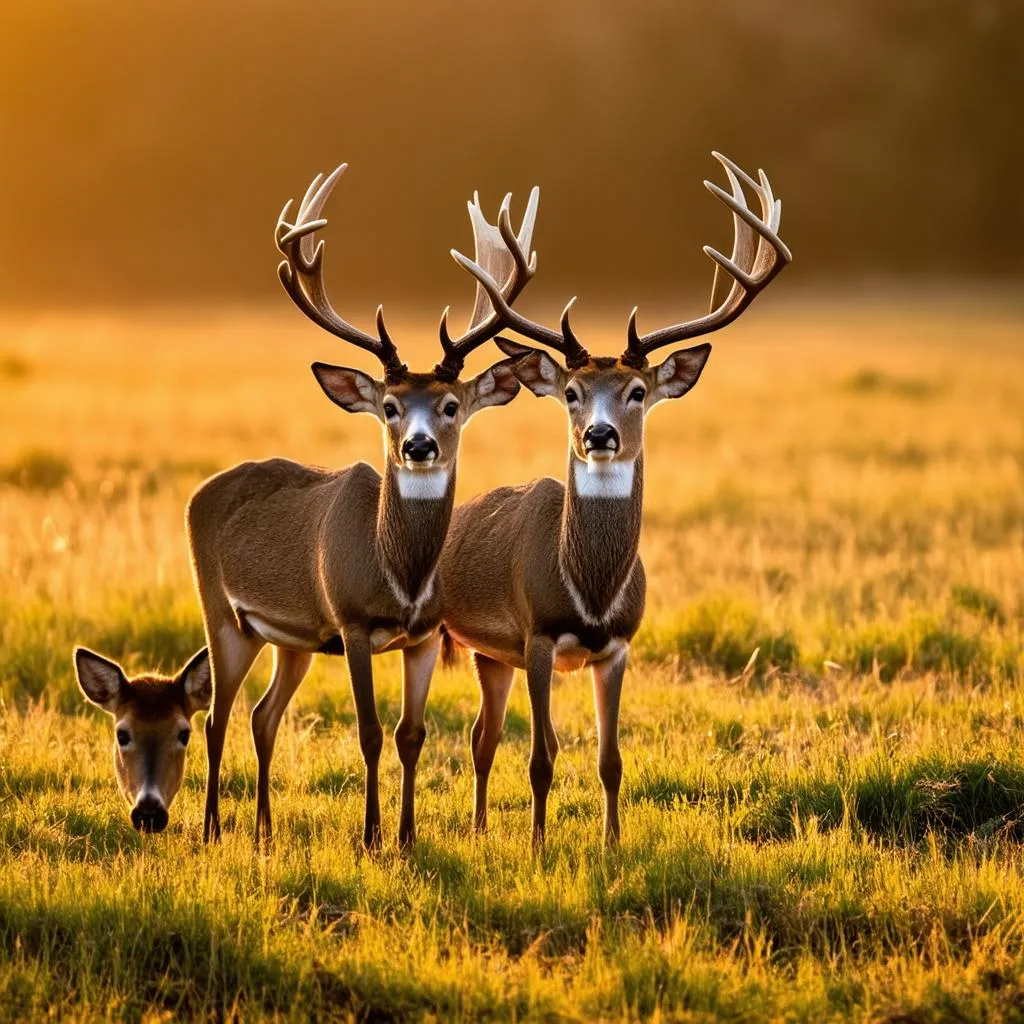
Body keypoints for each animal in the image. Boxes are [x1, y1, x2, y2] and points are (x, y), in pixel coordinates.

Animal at [184, 161, 552, 847]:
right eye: (388, 404)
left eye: (452, 404)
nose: (417, 445)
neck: (398, 577)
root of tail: (202, 492)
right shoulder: (351, 620)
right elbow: (370, 732)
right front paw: (372, 835)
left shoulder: (425, 634)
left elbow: (412, 734)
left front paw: (407, 836)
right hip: (222, 612)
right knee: (217, 714)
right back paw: (214, 828)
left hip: (293, 639)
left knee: (261, 715)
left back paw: (265, 830)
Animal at [438, 153, 790, 847]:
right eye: (572, 392)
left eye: (637, 390)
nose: (598, 435)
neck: (591, 594)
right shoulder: (538, 635)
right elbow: (542, 755)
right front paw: (540, 848)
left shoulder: (621, 645)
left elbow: (611, 758)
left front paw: (612, 843)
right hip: (483, 643)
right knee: (482, 738)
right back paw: (483, 829)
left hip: (494, 655)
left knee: (482, 737)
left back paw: (483, 828)